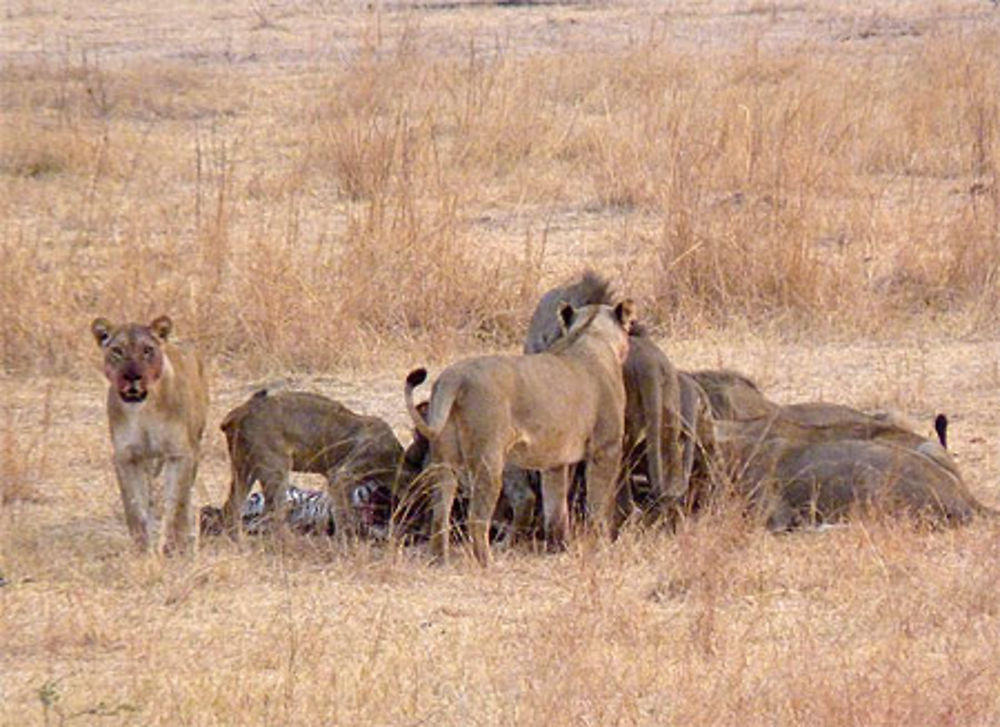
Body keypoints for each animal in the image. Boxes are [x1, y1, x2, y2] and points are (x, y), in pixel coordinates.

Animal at [92, 316, 209, 556]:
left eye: (147, 350)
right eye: (117, 351)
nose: (132, 377)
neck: (144, 409)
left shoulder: (180, 453)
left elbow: (177, 504)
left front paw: (174, 547)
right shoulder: (126, 457)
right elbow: (134, 506)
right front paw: (142, 549)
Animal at [213, 392, 412, 540]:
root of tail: (238, 412)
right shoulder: (340, 475)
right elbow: (344, 515)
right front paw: (345, 545)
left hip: (244, 468)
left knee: (231, 507)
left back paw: (238, 543)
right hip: (276, 468)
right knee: (272, 512)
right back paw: (291, 545)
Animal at [404, 298, 632, 564]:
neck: (590, 333)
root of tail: (454, 378)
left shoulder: (555, 461)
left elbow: (556, 508)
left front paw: (559, 547)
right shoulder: (606, 448)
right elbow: (598, 505)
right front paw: (600, 547)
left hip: (443, 461)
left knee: (440, 513)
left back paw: (440, 560)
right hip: (489, 460)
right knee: (476, 519)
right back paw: (487, 563)